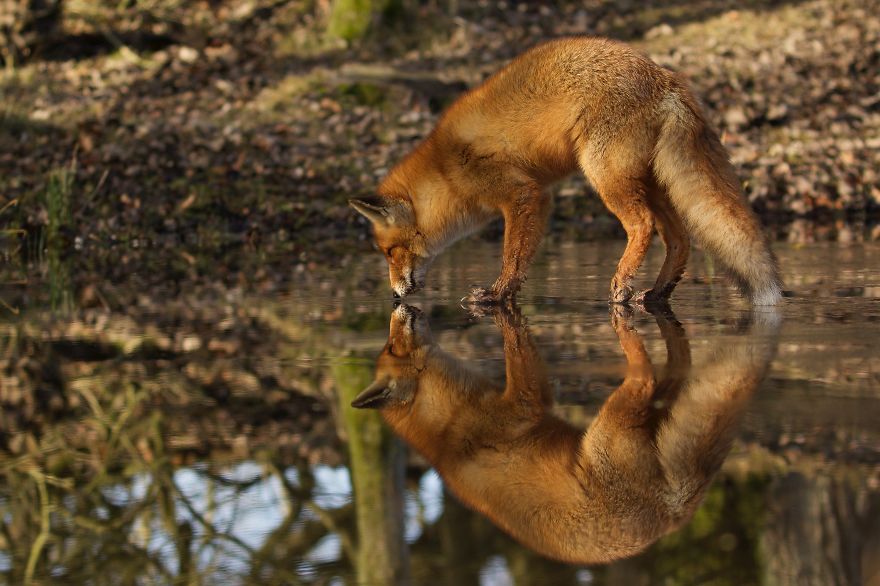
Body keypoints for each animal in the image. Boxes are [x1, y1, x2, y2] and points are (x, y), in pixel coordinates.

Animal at [350, 37, 782, 306]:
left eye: (389, 252)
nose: (394, 296)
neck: (446, 169)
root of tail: (665, 77)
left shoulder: (524, 195)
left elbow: (512, 255)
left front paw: (496, 295)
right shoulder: (539, 199)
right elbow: (521, 259)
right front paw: (507, 295)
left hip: (605, 176)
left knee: (642, 225)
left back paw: (622, 285)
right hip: (651, 183)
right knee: (679, 239)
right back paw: (658, 293)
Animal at [352, 303, 779, 564]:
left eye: (389, 345)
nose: (399, 303)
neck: (449, 427)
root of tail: (673, 519)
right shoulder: (525, 404)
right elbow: (520, 358)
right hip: (611, 428)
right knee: (644, 383)